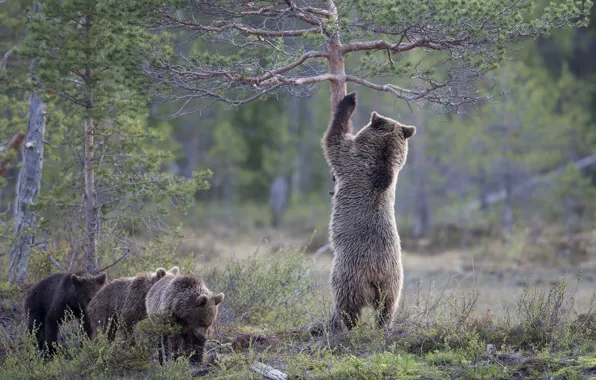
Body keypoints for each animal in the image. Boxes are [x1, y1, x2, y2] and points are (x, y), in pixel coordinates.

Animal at [322, 91, 414, 330]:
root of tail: (376, 274)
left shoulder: (349, 159)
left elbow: (333, 139)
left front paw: (348, 102)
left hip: (349, 273)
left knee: (347, 302)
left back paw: (342, 323)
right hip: (394, 281)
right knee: (388, 307)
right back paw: (384, 325)